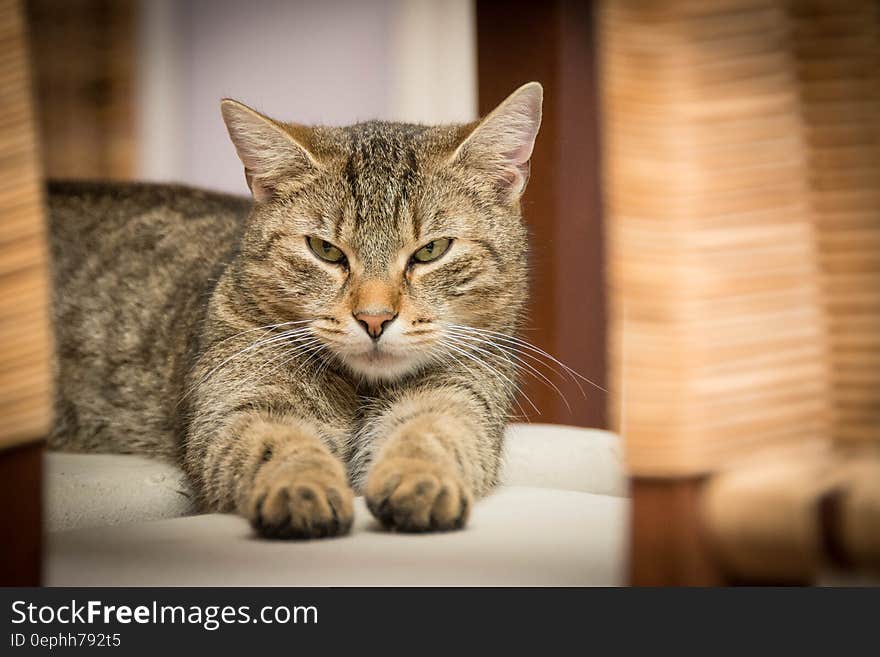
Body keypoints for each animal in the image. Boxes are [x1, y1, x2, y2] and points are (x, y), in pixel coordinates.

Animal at [49, 82, 544, 540]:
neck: (360, 388)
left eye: (431, 251)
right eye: (325, 250)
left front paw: (421, 480)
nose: (374, 318)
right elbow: (280, 443)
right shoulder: (241, 404)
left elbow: (431, 434)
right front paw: (301, 488)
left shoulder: (461, 396)